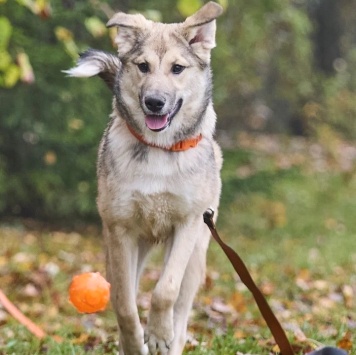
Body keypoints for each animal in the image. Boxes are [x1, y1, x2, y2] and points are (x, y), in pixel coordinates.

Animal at [64, 1, 222, 354]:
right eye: (143, 67)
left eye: (177, 69)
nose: (154, 102)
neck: (159, 149)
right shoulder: (121, 231)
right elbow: (124, 304)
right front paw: (136, 342)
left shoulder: (187, 224)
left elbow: (166, 290)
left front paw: (159, 334)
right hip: (125, 249)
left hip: (197, 255)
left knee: (181, 307)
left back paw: (170, 337)